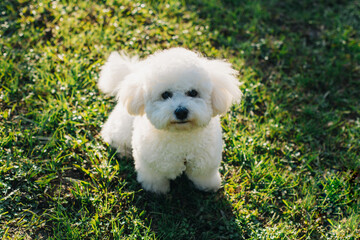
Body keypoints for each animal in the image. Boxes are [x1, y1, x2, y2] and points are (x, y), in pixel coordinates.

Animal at [97, 47, 242, 193]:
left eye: (193, 92)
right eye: (165, 94)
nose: (181, 112)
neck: (181, 137)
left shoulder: (206, 162)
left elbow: (204, 176)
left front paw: (209, 187)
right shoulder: (151, 165)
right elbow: (155, 180)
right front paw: (158, 191)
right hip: (122, 128)